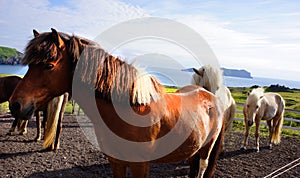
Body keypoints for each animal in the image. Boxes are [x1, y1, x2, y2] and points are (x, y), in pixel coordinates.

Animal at [9, 28, 225, 177]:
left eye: (49, 65)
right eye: (29, 65)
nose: (15, 104)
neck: (129, 108)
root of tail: (210, 95)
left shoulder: (140, 165)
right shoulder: (116, 162)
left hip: (207, 148)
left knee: (202, 167)